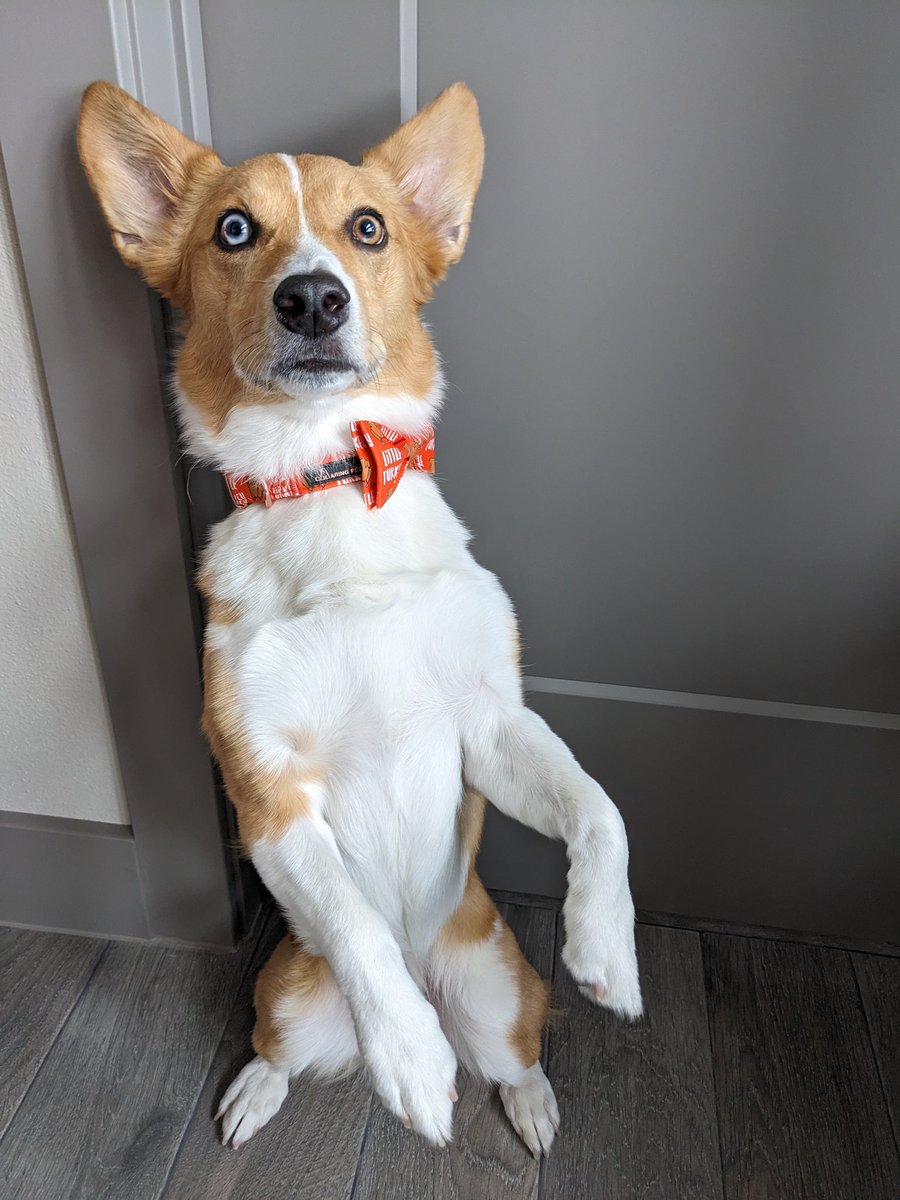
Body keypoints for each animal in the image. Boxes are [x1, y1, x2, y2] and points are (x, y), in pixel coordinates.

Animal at [77, 79, 643, 1156]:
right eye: (234, 228)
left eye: (369, 227)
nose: (312, 298)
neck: (333, 479)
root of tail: (441, 969)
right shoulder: (270, 796)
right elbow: (354, 926)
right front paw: (412, 1060)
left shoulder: (490, 722)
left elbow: (600, 807)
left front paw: (609, 944)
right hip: (290, 993)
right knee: (294, 1034)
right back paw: (268, 1088)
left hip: (503, 989)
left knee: (516, 1053)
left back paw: (532, 1100)